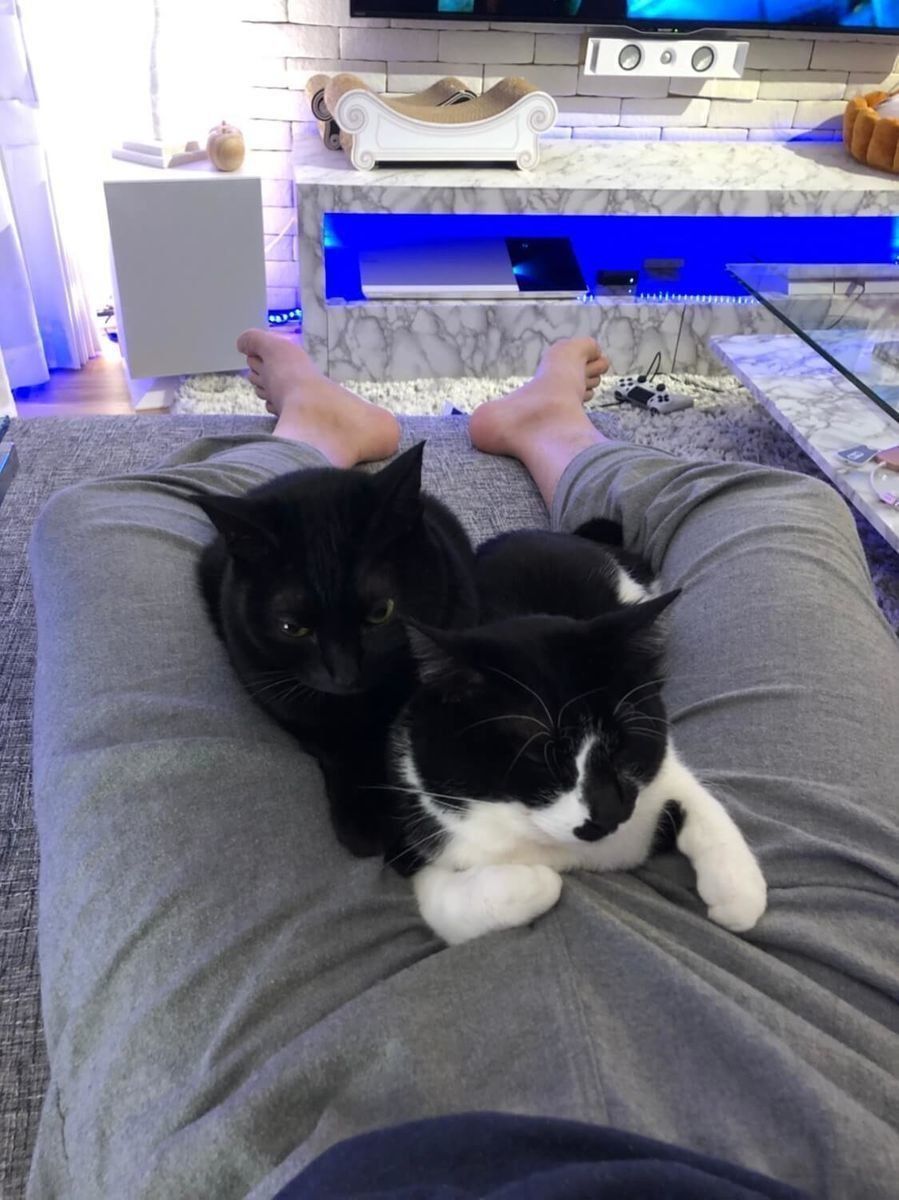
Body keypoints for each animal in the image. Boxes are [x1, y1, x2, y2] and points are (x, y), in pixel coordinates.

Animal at [193, 442, 478, 856]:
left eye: (381, 612)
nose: (345, 674)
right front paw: (364, 821)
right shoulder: (278, 696)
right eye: (293, 628)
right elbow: (333, 745)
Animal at [383, 523, 767, 945]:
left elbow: (692, 794)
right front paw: (534, 881)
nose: (610, 813)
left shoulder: (659, 765)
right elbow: (448, 903)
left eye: (622, 744)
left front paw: (737, 889)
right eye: (540, 753)